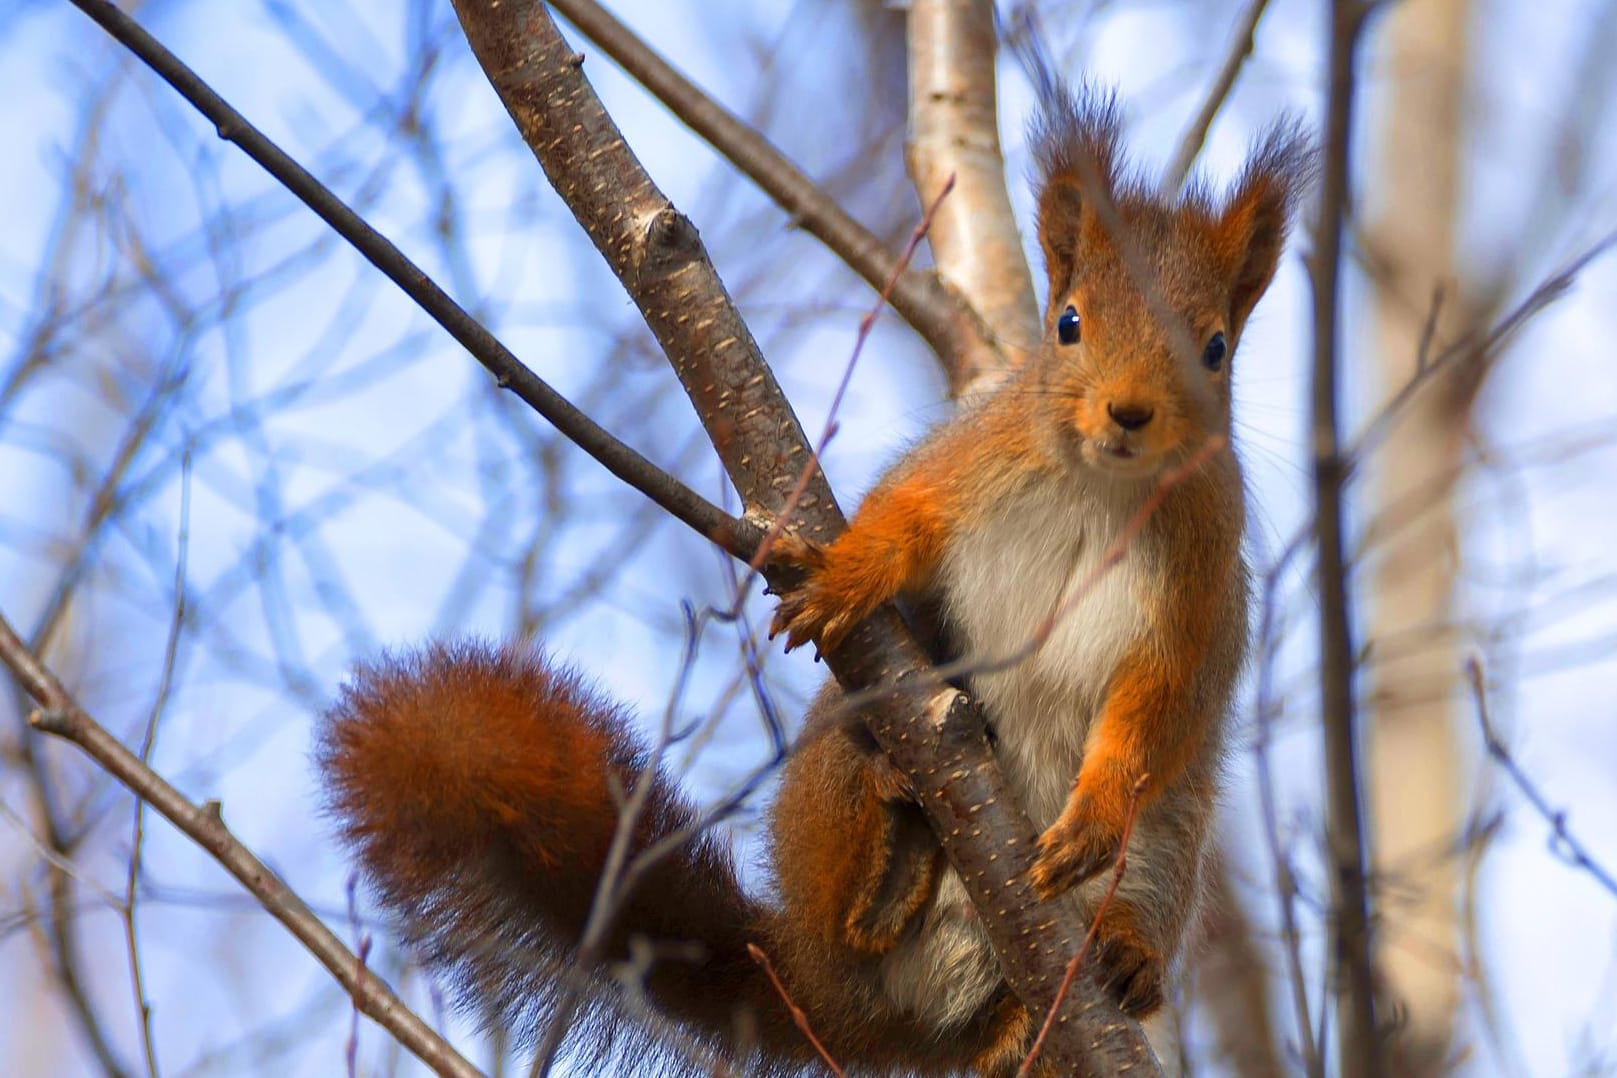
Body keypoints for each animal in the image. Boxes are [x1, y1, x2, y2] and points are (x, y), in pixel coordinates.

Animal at [318, 86, 1313, 1078]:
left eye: (1215, 348)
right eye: (1068, 323)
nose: (1129, 413)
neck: (1099, 485)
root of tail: (835, 1001)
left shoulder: (1197, 588)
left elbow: (1160, 707)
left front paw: (1091, 819)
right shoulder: (965, 465)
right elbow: (902, 517)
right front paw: (855, 575)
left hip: (1168, 842)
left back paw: (1102, 968)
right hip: (841, 753)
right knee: (856, 909)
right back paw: (887, 846)